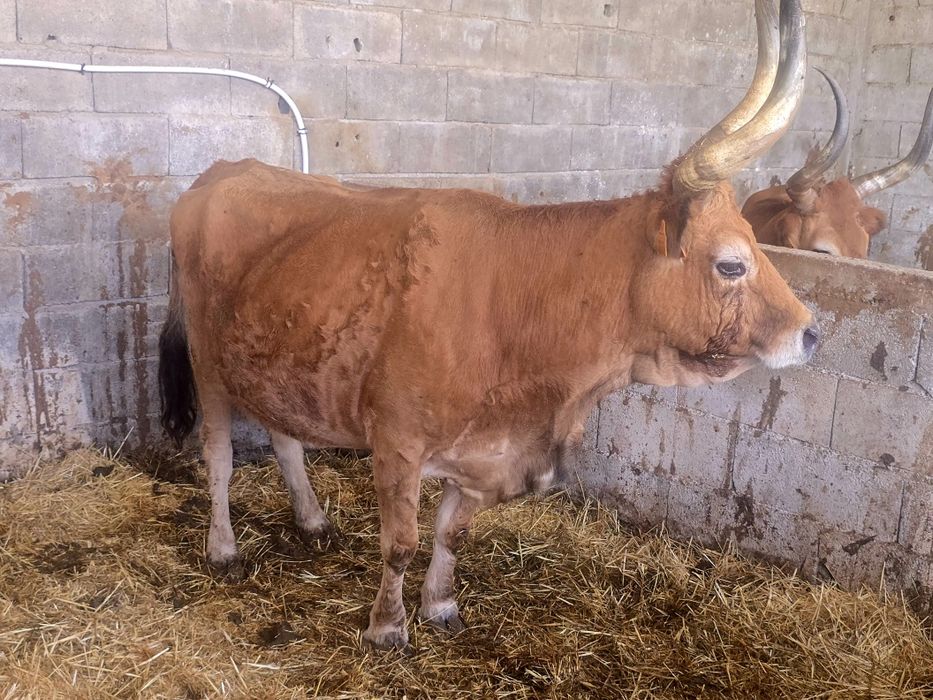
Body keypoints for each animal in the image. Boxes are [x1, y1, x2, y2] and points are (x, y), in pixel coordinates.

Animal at [158, 0, 817, 650]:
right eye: (730, 262)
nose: (811, 334)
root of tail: (222, 172)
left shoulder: (484, 459)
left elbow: (452, 536)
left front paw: (441, 606)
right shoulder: (396, 443)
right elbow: (400, 545)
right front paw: (387, 627)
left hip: (275, 354)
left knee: (285, 434)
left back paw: (313, 519)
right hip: (207, 362)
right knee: (218, 455)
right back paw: (223, 549)